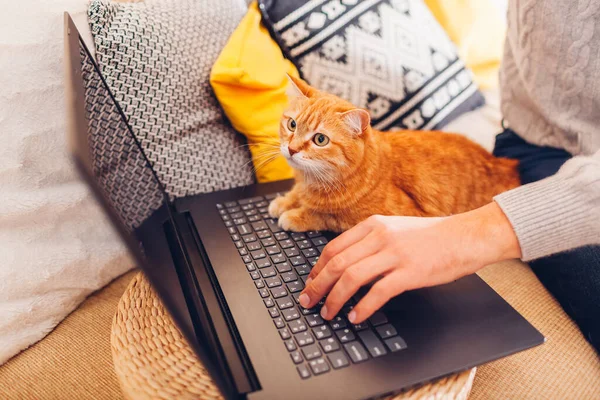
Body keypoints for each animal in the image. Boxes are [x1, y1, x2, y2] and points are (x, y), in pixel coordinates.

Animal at [268, 75, 520, 233]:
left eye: (320, 140)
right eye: (292, 125)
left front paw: (296, 215)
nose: (292, 149)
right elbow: (296, 194)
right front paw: (285, 201)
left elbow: (329, 216)